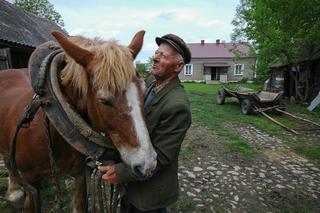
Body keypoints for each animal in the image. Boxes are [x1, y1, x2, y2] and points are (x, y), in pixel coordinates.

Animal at [0, 30, 156, 212]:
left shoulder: (81, 176)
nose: (148, 165)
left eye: (144, 90)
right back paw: (15, 191)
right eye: (104, 101)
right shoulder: (32, 186)